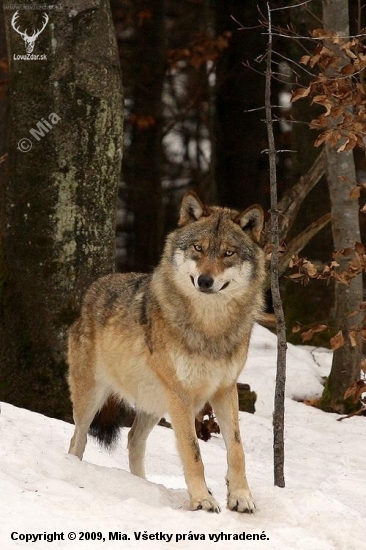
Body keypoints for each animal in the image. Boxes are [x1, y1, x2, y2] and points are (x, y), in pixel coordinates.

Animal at [67, 192, 264, 516]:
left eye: (228, 253)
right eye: (198, 248)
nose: (205, 281)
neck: (210, 328)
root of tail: (91, 291)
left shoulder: (225, 389)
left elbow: (237, 448)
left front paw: (241, 497)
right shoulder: (181, 395)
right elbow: (193, 451)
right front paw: (202, 500)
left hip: (154, 403)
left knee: (133, 439)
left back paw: (142, 486)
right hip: (93, 399)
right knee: (78, 439)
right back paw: (74, 470)